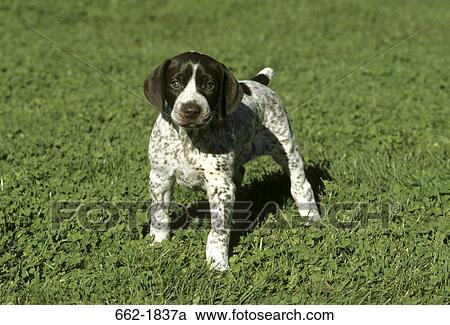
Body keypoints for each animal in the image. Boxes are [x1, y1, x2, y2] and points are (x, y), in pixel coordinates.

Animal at [144, 51, 320, 270]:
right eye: (175, 83)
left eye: (210, 85)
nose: (191, 110)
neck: (189, 137)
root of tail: (256, 82)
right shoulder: (160, 178)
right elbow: (159, 215)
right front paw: (158, 243)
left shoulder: (220, 186)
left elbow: (218, 230)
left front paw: (217, 262)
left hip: (286, 149)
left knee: (300, 185)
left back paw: (311, 218)